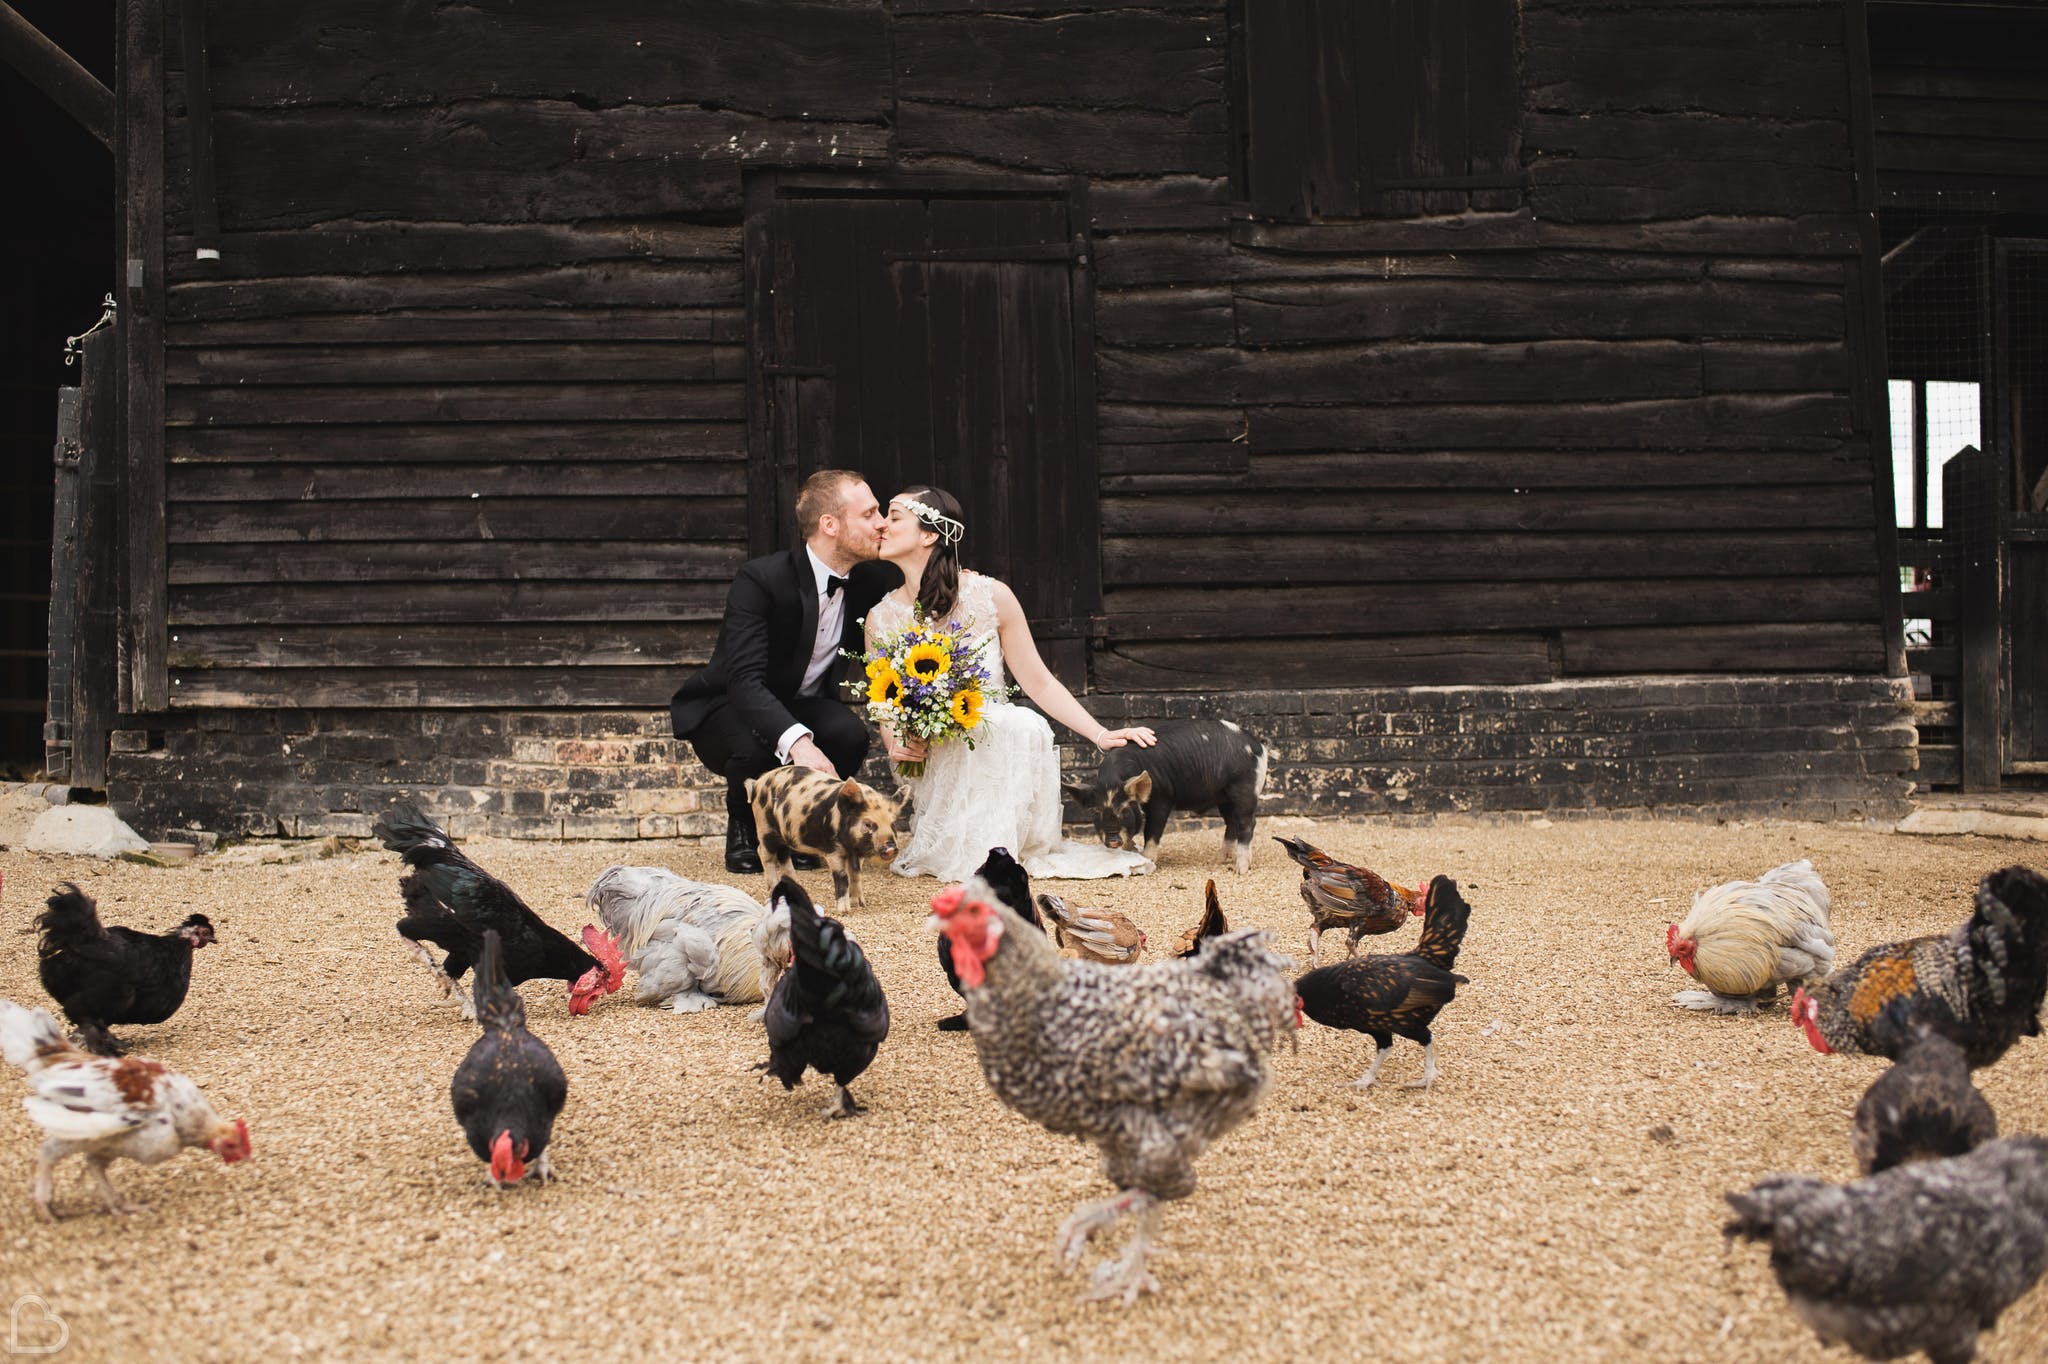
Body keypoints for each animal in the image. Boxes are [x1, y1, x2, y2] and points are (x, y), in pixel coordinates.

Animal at [737, 765, 897, 913]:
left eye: (892, 823)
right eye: (868, 824)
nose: (891, 848)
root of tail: (757, 783)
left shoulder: (856, 854)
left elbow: (856, 874)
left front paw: (860, 904)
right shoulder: (833, 851)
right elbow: (842, 877)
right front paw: (844, 911)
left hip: (784, 834)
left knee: (783, 855)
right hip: (764, 827)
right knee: (764, 854)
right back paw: (773, 891)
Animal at [1064, 712, 1269, 872]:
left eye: (1125, 812)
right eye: (1095, 813)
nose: (1113, 840)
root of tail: (1258, 747)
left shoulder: (1162, 798)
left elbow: (1152, 830)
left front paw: (1146, 859)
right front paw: (1130, 852)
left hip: (1244, 787)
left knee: (1247, 823)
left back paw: (1240, 869)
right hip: (1224, 797)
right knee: (1231, 823)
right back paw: (1218, 860)